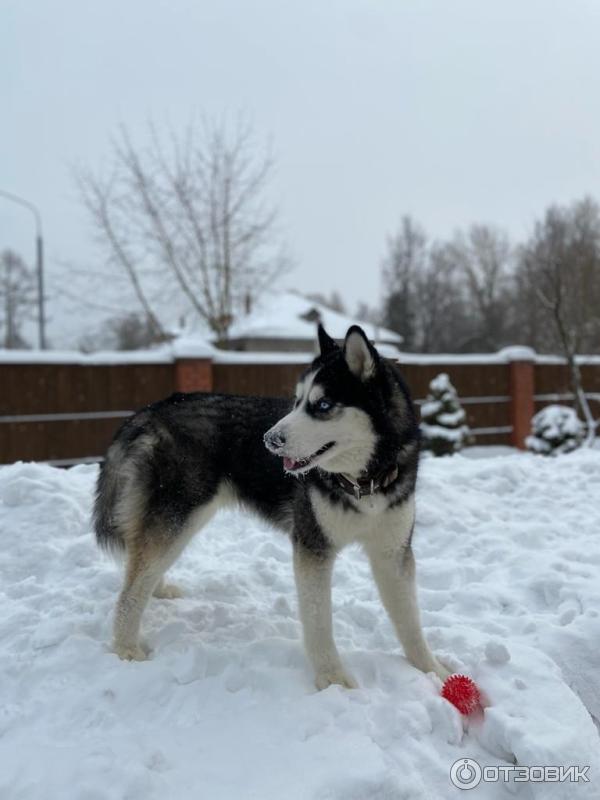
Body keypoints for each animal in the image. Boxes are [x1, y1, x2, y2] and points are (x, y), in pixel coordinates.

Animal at [96, 324, 448, 688]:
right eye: (297, 400)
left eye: (323, 404)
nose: (269, 440)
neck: (364, 484)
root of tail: (152, 408)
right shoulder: (312, 546)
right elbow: (319, 622)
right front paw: (333, 679)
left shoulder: (392, 552)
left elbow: (410, 621)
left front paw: (433, 671)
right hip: (180, 514)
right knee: (131, 588)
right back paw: (126, 648)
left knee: (140, 564)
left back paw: (158, 590)